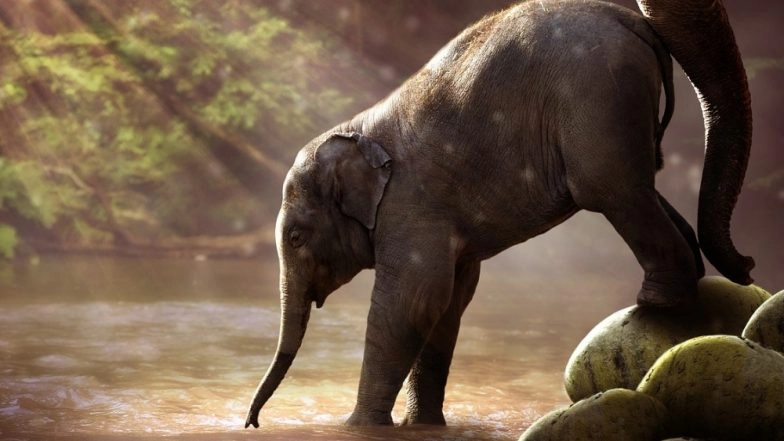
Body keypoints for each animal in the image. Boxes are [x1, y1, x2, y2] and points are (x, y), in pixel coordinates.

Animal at [245, 0, 755, 429]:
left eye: (296, 237)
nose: (251, 422)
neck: (356, 129)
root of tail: (632, 20)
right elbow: (449, 300)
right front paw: (422, 426)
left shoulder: (411, 205)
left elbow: (413, 299)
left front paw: (358, 428)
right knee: (642, 187)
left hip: (598, 103)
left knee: (614, 190)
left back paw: (659, 301)